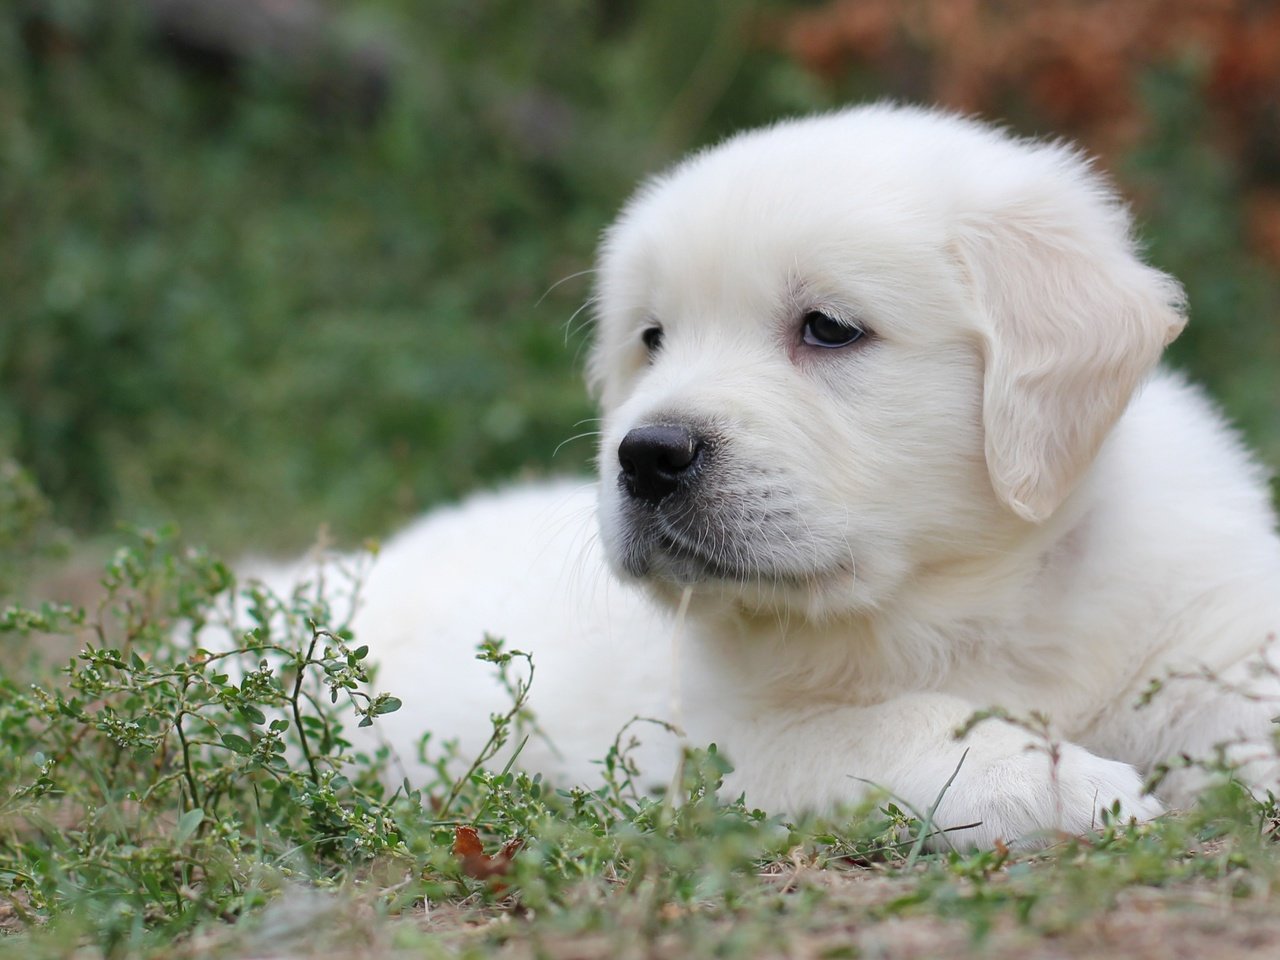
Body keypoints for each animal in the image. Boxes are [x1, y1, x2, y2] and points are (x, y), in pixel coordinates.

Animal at [312, 104, 1280, 849]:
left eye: (829, 329)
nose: (645, 454)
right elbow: (887, 725)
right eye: (651, 339)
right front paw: (1049, 780)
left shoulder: (1213, 631)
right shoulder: (723, 738)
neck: (975, 596)